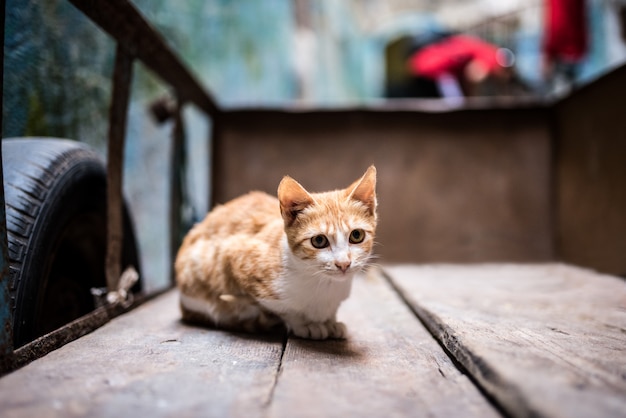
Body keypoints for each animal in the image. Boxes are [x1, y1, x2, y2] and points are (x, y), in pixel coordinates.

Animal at [173, 165, 376, 338]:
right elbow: (284, 309)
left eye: (356, 235)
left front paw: (330, 321)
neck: (324, 285)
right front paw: (305, 324)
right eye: (319, 241)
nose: (344, 263)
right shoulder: (231, 254)